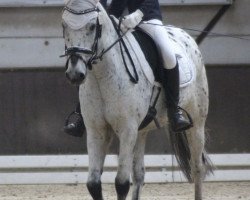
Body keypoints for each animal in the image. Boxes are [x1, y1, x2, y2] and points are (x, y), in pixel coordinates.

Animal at [61, 0, 212, 199]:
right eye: (64, 25)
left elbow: (121, 183)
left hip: (197, 123)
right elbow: (93, 183)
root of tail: (185, 35)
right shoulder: (97, 130)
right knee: (139, 175)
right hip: (141, 131)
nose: (74, 74)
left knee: (197, 168)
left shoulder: (127, 129)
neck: (102, 76)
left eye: (92, 26)